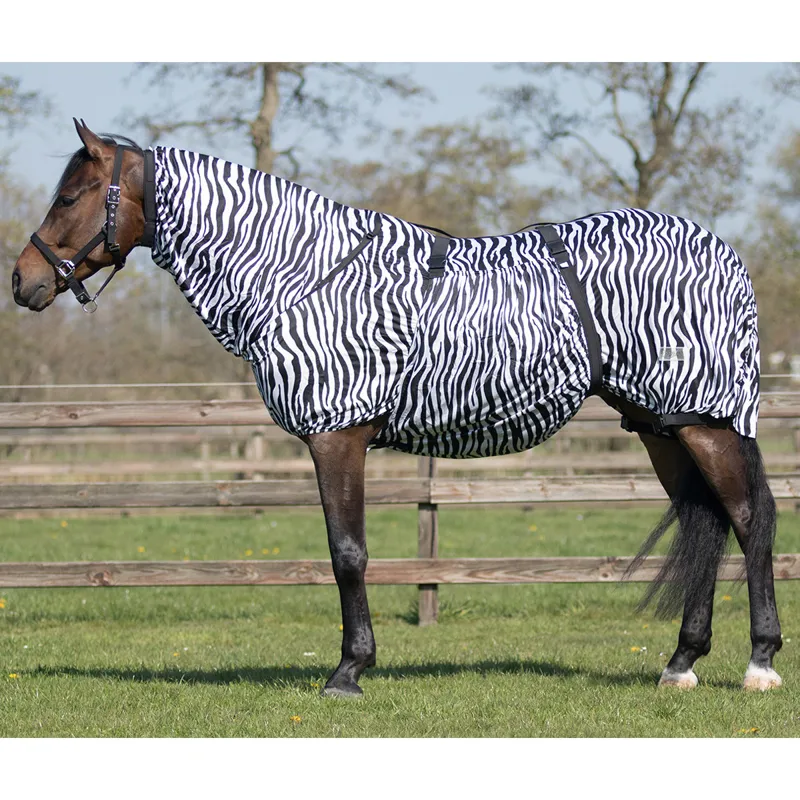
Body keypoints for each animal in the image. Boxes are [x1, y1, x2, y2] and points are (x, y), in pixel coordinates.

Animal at [13, 121, 782, 697]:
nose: (22, 281)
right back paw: (681, 664)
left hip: (707, 421)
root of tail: (724, 252)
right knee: (707, 519)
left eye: (72, 195)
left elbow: (347, 552)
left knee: (749, 520)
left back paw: (760, 662)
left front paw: (349, 670)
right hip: (662, 426)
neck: (300, 273)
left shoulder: (337, 437)